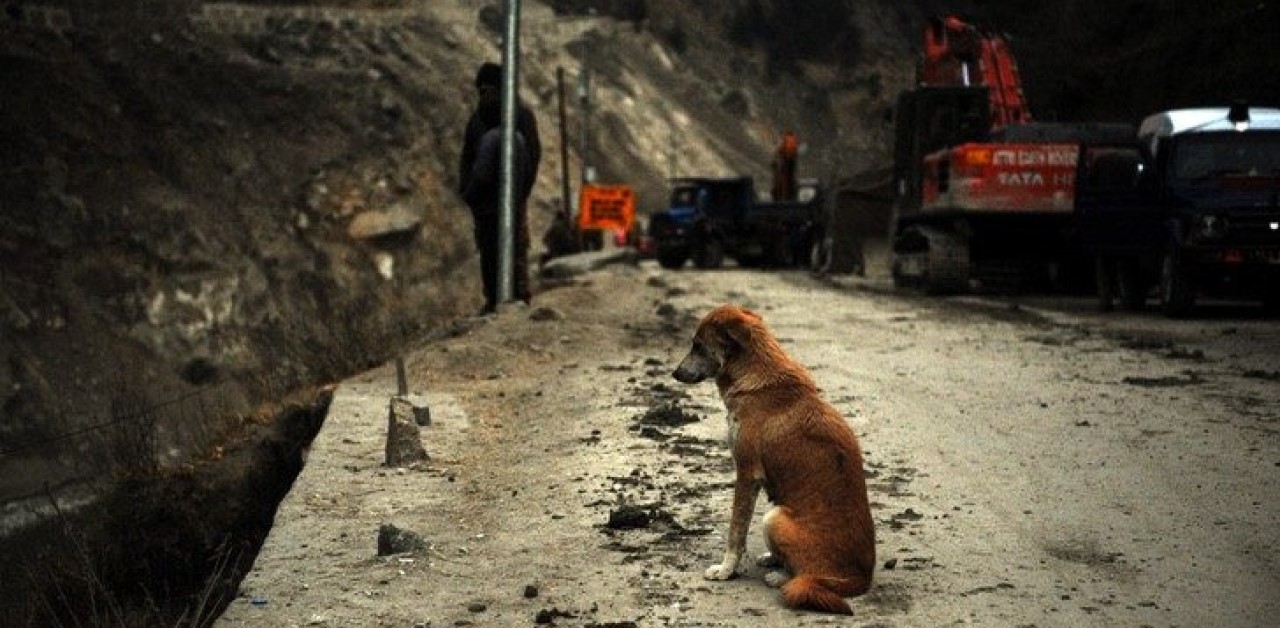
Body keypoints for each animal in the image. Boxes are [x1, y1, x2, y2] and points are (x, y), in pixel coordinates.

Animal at [675, 303, 875, 613]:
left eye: (698, 346)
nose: (675, 373)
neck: (754, 374)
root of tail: (860, 579)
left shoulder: (746, 474)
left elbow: (736, 532)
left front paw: (726, 570)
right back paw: (774, 559)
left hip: (774, 517)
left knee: (803, 576)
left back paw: (780, 576)